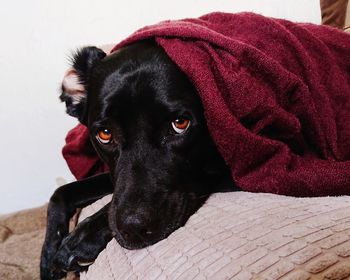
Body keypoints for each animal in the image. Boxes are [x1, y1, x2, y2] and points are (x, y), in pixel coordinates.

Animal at [39, 40, 234, 280]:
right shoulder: (113, 175)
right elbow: (61, 192)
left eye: (180, 123)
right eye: (105, 133)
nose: (133, 229)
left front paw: (82, 239)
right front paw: (47, 257)